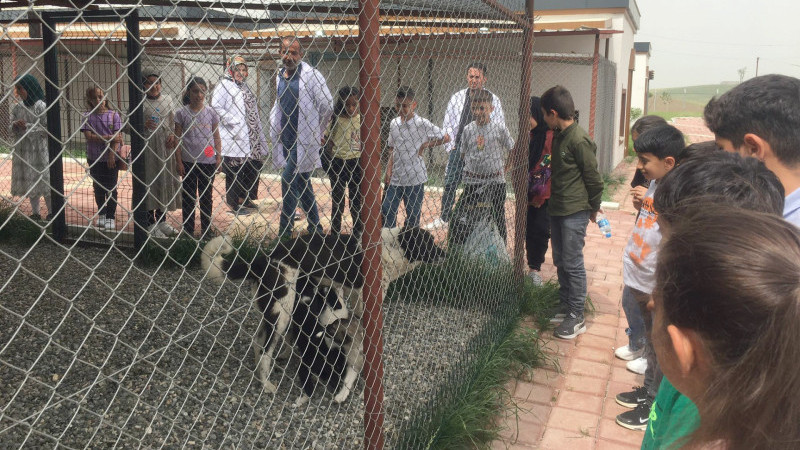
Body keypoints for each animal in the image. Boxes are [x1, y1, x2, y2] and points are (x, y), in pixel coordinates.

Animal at [202, 227, 444, 402]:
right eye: (428, 242)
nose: (446, 253)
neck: (391, 248)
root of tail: (263, 260)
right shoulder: (365, 298)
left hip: (273, 312)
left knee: (258, 341)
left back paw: (261, 374)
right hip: (282, 313)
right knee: (265, 350)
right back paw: (267, 384)